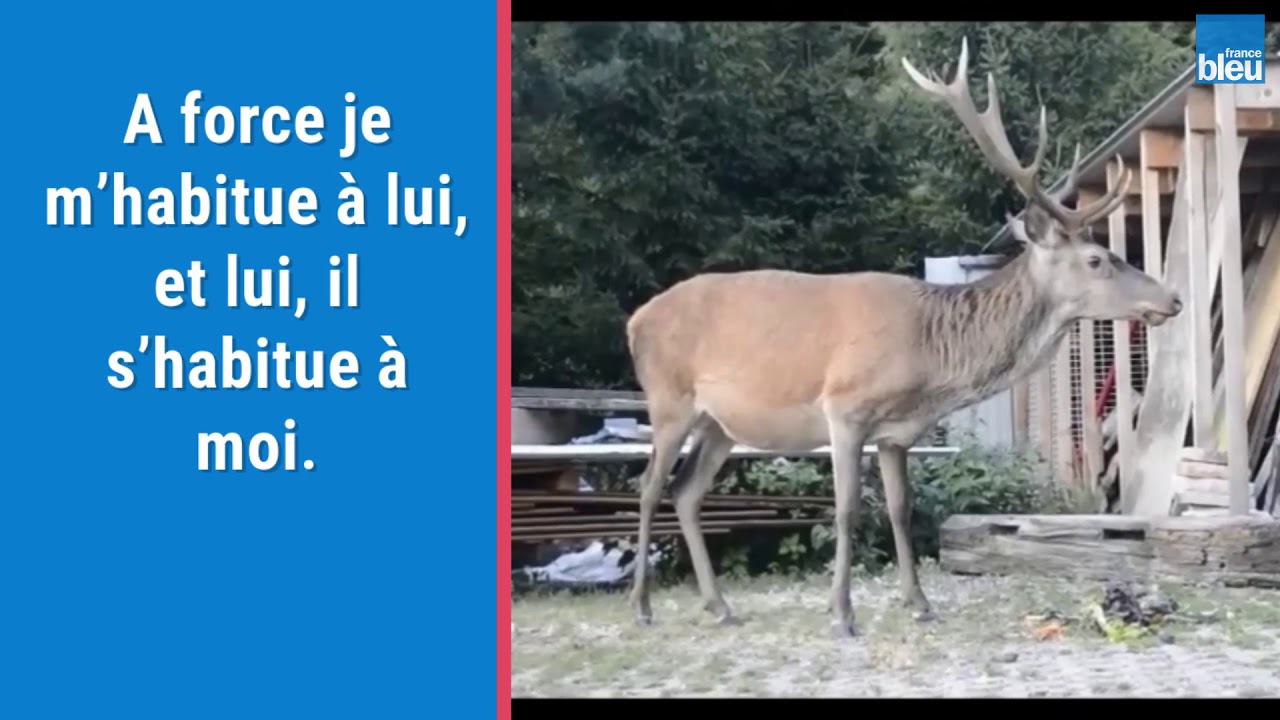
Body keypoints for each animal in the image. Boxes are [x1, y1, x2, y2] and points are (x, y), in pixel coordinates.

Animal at [621, 37, 1184, 639]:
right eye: (1098, 259)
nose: (1172, 299)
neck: (932, 359)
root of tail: (634, 321)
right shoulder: (845, 408)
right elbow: (847, 508)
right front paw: (842, 613)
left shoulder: (897, 433)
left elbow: (900, 507)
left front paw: (919, 602)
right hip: (668, 399)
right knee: (650, 486)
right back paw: (642, 605)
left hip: (720, 424)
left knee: (686, 492)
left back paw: (720, 604)